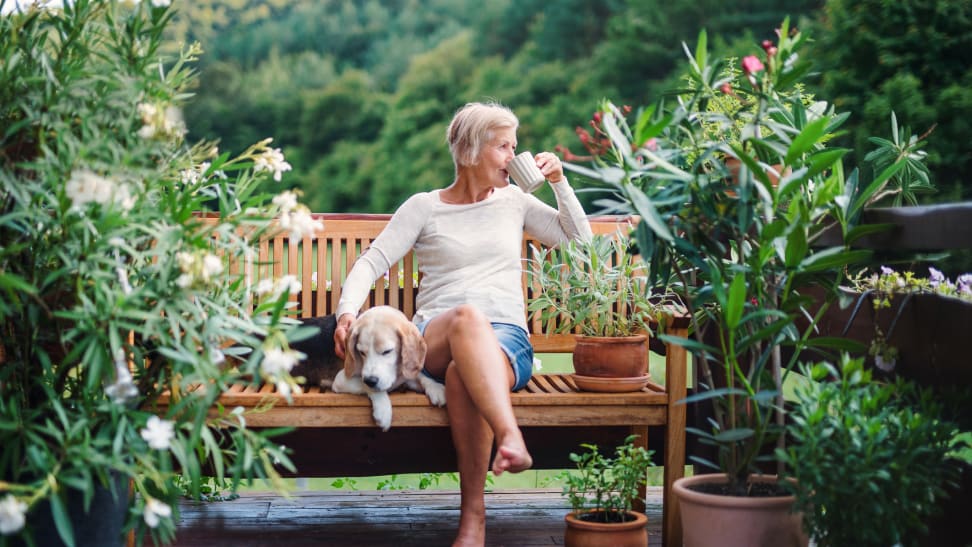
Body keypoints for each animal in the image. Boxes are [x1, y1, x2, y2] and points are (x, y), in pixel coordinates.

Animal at [284, 306, 444, 430]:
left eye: (387, 351)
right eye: (361, 352)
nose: (371, 380)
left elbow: (420, 376)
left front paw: (436, 388)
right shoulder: (341, 380)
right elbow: (368, 386)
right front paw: (383, 410)